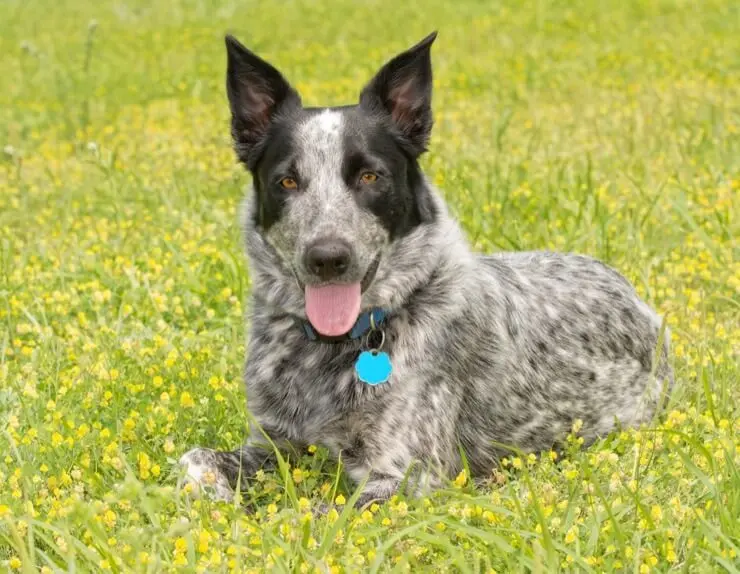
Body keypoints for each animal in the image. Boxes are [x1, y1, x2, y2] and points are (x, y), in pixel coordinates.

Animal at [178, 32, 672, 508]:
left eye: (370, 176)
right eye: (287, 181)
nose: (327, 257)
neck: (337, 346)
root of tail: (631, 292)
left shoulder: (407, 476)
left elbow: (319, 514)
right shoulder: (271, 445)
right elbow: (195, 461)